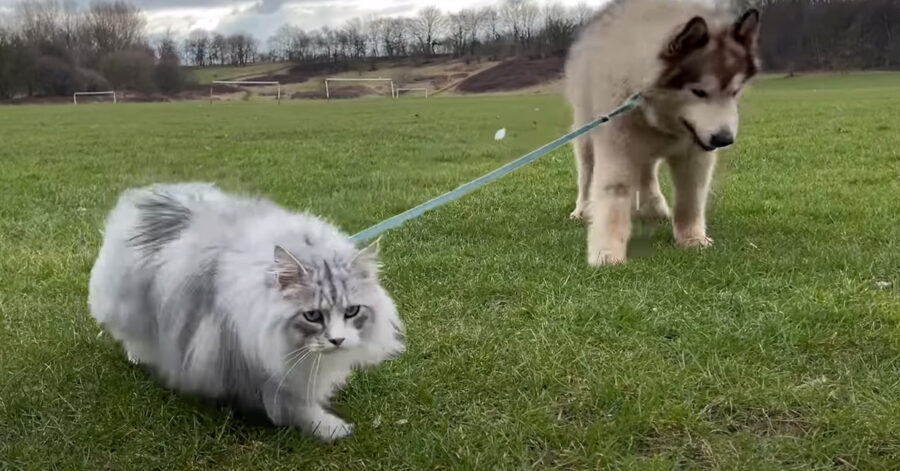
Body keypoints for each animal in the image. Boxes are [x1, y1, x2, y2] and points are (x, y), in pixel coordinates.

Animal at [88, 182, 404, 442]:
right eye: (312, 315)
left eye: (352, 311)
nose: (337, 340)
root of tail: (147, 194)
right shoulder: (260, 368)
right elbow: (298, 406)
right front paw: (330, 428)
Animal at [568, 0, 756, 266]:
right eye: (699, 92)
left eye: (734, 91)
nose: (724, 139)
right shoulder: (617, 146)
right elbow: (613, 194)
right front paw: (607, 253)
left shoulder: (694, 155)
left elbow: (691, 197)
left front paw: (692, 239)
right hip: (586, 135)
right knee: (586, 173)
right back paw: (583, 209)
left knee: (647, 171)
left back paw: (653, 206)